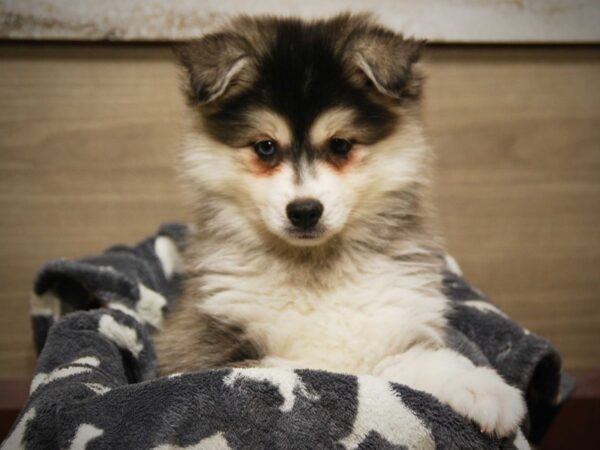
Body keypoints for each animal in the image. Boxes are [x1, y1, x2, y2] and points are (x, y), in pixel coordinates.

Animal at [155, 13, 524, 436]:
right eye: (265, 146)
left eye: (340, 145)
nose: (304, 211)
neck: (315, 267)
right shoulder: (195, 346)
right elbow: (301, 367)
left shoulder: (394, 322)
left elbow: (416, 361)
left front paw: (479, 386)